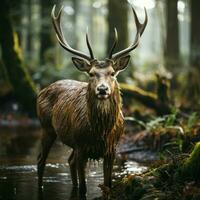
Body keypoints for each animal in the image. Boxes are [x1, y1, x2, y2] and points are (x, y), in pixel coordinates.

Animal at [36, 3, 148, 198]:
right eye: (91, 73)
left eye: (112, 73)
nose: (102, 89)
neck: (100, 132)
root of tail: (42, 90)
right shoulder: (81, 146)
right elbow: (84, 188)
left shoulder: (112, 148)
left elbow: (108, 184)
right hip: (46, 127)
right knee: (41, 160)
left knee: (69, 161)